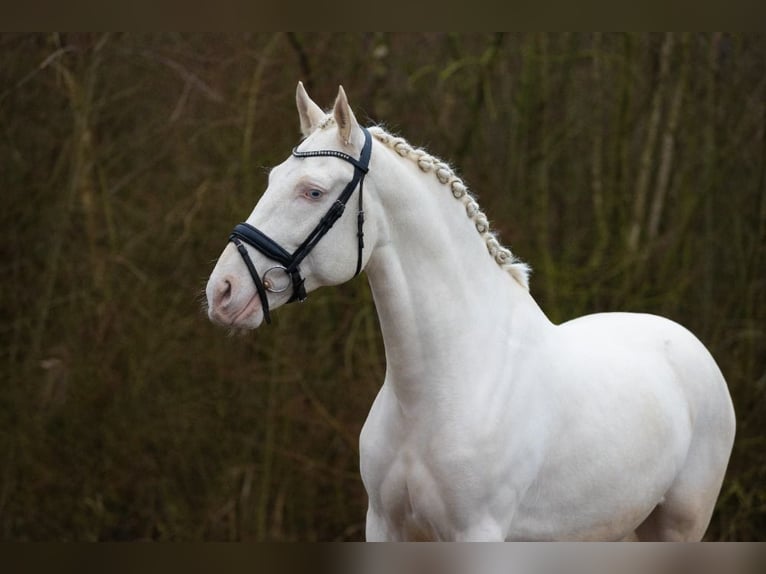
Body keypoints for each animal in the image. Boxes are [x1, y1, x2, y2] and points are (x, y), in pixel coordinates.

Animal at [206, 83, 736, 544]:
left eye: (313, 191)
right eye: (272, 179)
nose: (223, 291)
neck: (443, 388)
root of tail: (686, 343)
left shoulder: (477, 534)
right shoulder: (385, 528)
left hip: (680, 525)